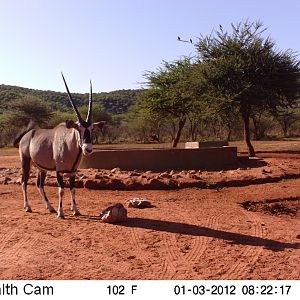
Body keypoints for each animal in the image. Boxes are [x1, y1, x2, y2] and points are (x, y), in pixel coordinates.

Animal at [14, 72, 105, 218]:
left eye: (91, 129)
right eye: (78, 128)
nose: (88, 148)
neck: (69, 145)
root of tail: (26, 135)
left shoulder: (73, 172)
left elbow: (73, 189)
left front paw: (76, 210)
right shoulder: (59, 171)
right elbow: (61, 190)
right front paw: (60, 212)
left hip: (42, 168)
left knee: (39, 184)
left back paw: (50, 207)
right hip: (25, 162)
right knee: (24, 181)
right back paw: (27, 207)